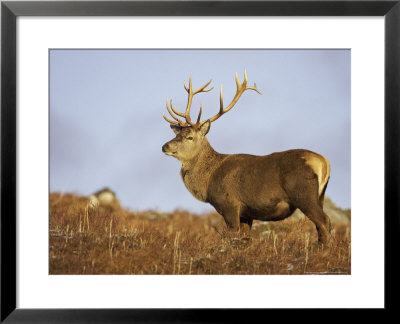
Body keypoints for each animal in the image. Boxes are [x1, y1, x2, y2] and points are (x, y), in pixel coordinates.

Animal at [161, 70, 332, 243]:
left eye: (190, 137)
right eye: (177, 134)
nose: (164, 146)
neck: (209, 182)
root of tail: (324, 163)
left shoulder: (229, 205)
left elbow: (234, 238)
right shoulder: (246, 214)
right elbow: (245, 240)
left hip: (303, 194)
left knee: (324, 221)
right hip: (320, 196)